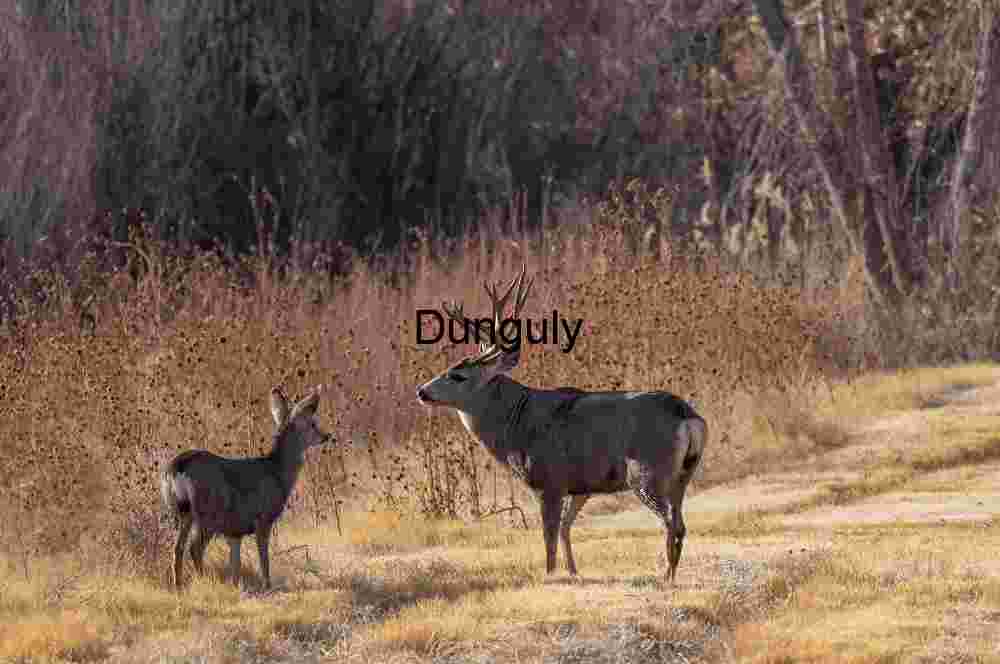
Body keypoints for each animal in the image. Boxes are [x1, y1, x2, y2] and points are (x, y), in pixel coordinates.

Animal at [160, 386, 334, 590]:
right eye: (313, 423)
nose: (327, 436)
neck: (278, 473)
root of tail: (175, 467)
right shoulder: (263, 517)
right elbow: (263, 557)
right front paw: (267, 585)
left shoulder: (236, 529)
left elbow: (236, 562)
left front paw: (236, 586)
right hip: (208, 511)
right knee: (195, 548)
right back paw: (203, 581)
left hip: (182, 512)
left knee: (177, 547)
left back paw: (178, 586)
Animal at [415, 266, 707, 584]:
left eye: (457, 375)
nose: (421, 391)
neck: (515, 423)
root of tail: (687, 416)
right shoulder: (580, 485)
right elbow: (567, 527)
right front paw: (573, 571)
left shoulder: (548, 479)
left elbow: (549, 535)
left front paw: (550, 574)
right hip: (683, 473)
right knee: (680, 521)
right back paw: (670, 571)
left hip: (646, 472)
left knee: (671, 522)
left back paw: (665, 575)